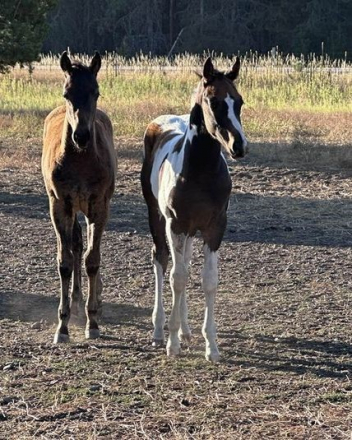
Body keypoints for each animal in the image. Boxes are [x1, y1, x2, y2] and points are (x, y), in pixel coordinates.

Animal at [42, 49, 117, 342]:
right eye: (67, 93)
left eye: (95, 92)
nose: (81, 136)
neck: (81, 161)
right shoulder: (60, 205)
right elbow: (65, 261)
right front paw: (62, 326)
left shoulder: (99, 206)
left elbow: (92, 260)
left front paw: (92, 321)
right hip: (73, 208)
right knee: (75, 243)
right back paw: (75, 298)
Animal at [141, 57, 248, 360]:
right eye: (213, 101)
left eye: (239, 101)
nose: (239, 146)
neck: (201, 171)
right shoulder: (175, 224)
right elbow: (177, 278)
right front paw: (172, 343)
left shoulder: (215, 226)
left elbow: (207, 279)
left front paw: (211, 345)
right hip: (158, 218)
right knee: (161, 260)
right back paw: (159, 330)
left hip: (189, 230)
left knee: (185, 262)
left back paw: (186, 329)